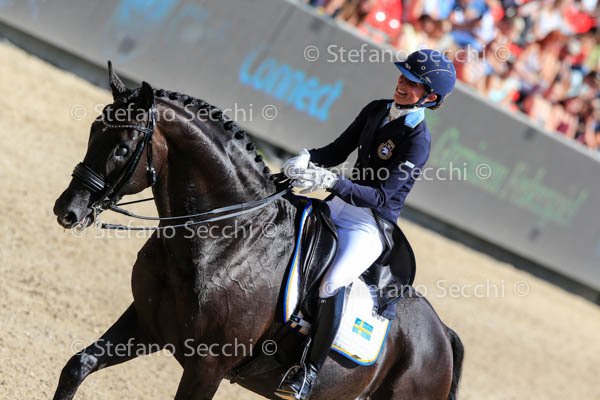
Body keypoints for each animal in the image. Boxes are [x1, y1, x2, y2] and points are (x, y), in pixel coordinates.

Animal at [52, 64, 464, 400]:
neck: (226, 239)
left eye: (122, 149)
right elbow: (77, 366)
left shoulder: (207, 366)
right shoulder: (146, 323)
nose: (67, 211)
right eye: (93, 130)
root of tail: (442, 334)